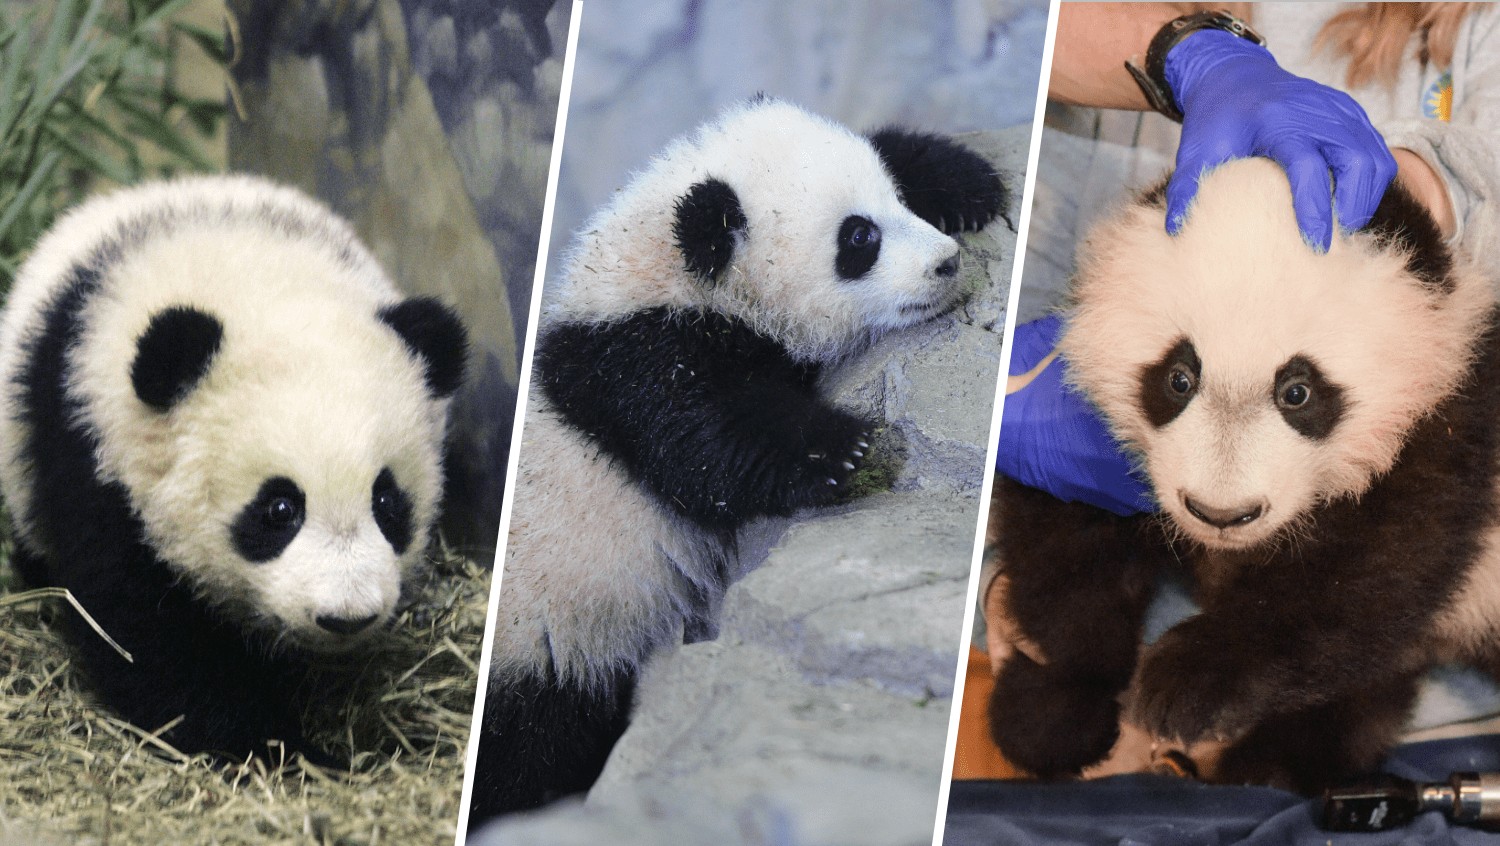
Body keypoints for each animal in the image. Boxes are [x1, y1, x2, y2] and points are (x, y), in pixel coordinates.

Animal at [0, 175, 468, 766]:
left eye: (388, 503)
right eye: (278, 509)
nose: (347, 616)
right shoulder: (91, 450)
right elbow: (150, 636)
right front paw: (281, 746)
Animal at [469, 96, 1006, 819]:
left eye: (893, 197)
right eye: (858, 240)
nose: (947, 263)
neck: (659, 270)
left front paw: (966, 178)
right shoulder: (639, 364)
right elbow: (707, 450)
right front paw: (843, 448)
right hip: (550, 642)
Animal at [987, 156, 1500, 794]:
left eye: (1297, 391)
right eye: (1178, 378)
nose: (1221, 514)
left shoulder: (1446, 431)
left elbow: (1367, 577)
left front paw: (1187, 680)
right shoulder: (1078, 443)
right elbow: (1061, 539)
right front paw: (1061, 705)